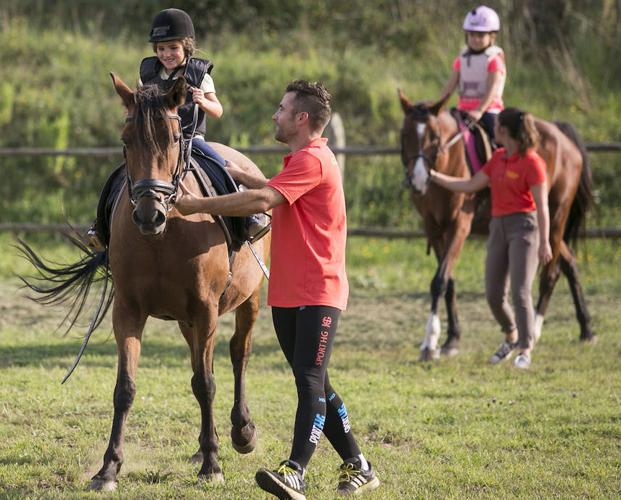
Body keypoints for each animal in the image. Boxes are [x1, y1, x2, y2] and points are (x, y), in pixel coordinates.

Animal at [20, 76, 268, 490]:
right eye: (125, 140)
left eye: (174, 137)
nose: (149, 214)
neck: (162, 237)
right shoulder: (129, 311)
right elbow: (126, 388)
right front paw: (108, 468)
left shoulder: (206, 309)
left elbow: (206, 384)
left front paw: (212, 465)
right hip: (187, 321)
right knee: (203, 363)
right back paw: (205, 444)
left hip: (248, 299)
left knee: (238, 354)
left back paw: (241, 432)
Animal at [400, 90, 592, 362]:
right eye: (405, 135)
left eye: (434, 138)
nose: (418, 179)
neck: (450, 162)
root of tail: (561, 135)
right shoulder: (434, 229)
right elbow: (448, 282)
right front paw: (451, 339)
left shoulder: (459, 226)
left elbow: (439, 281)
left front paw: (430, 342)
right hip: (545, 228)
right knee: (570, 262)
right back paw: (587, 329)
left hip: (555, 219)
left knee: (550, 273)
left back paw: (535, 331)